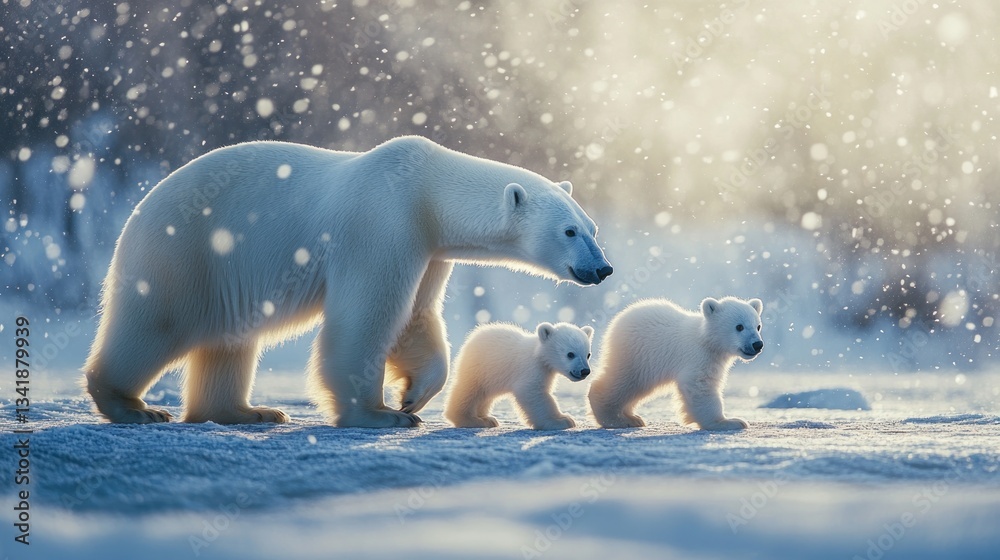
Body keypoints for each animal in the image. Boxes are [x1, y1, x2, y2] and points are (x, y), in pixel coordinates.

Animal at [444, 322, 594, 430]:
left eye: (588, 354)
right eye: (570, 354)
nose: (584, 371)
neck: (538, 354)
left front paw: (565, 418)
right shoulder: (530, 368)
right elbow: (532, 392)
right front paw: (561, 421)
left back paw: (487, 419)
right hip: (480, 368)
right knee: (469, 391)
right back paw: (471, 420)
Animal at [587, 297, 763, 430]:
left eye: (758, 326)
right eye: (739, 326)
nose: (757, 344)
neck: (705, 339)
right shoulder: (697, 357)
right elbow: (700, 386)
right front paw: (730, 422)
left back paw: (632, 417)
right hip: (636, 355)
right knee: (621, 381)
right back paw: (615, 419)